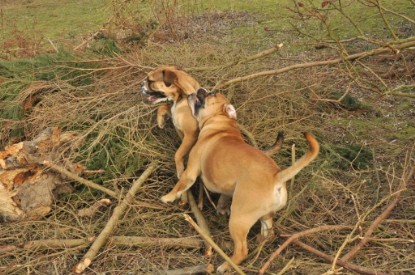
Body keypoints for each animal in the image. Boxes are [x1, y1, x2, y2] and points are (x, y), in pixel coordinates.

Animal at [161, 89, 320, 274]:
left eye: (211, 94)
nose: (200, 89)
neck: (221, 124)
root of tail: (276, 176)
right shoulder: (226, 187)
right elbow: (223, 197)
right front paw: (221, 208)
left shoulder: (191, 170)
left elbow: (181, 183)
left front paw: (168, 197)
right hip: (265, 216)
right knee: (268, 233)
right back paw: (259, 242)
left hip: (239, 219)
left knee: (242, 250)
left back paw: (225, 266)